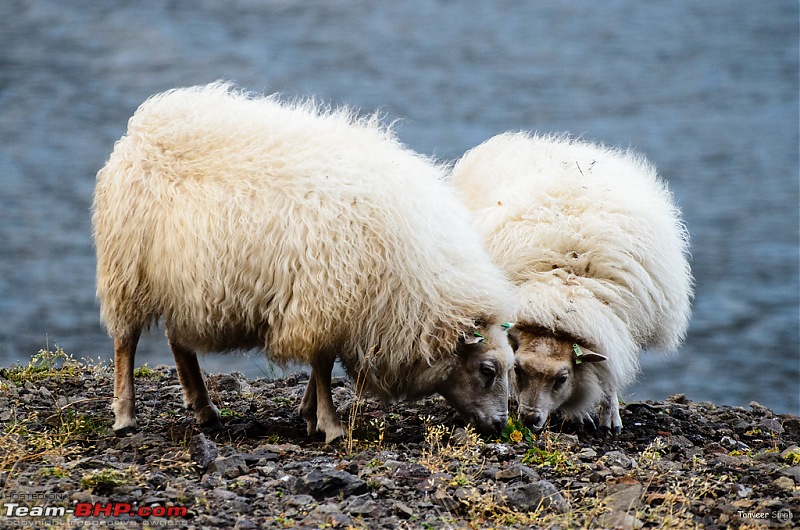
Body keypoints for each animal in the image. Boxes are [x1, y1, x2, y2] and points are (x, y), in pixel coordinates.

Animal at [90, 82, 516, 442]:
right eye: (488, 370)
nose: (500, 426)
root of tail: (142, 127)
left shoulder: (335, 306)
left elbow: (319, 368)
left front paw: (310, 414)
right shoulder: (324, 298)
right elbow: (323, 367)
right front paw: (330, 425)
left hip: (180, 279)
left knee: (178, 342)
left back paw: (205, 409)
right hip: (126, 269)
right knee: (125, 342)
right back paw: (126, 415)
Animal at [450, 130, 692, 432]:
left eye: (562, 379)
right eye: (518, 369)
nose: (530, 419)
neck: (563, 290)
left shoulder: (613, 328)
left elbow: (607, 374)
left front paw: (610, 417)